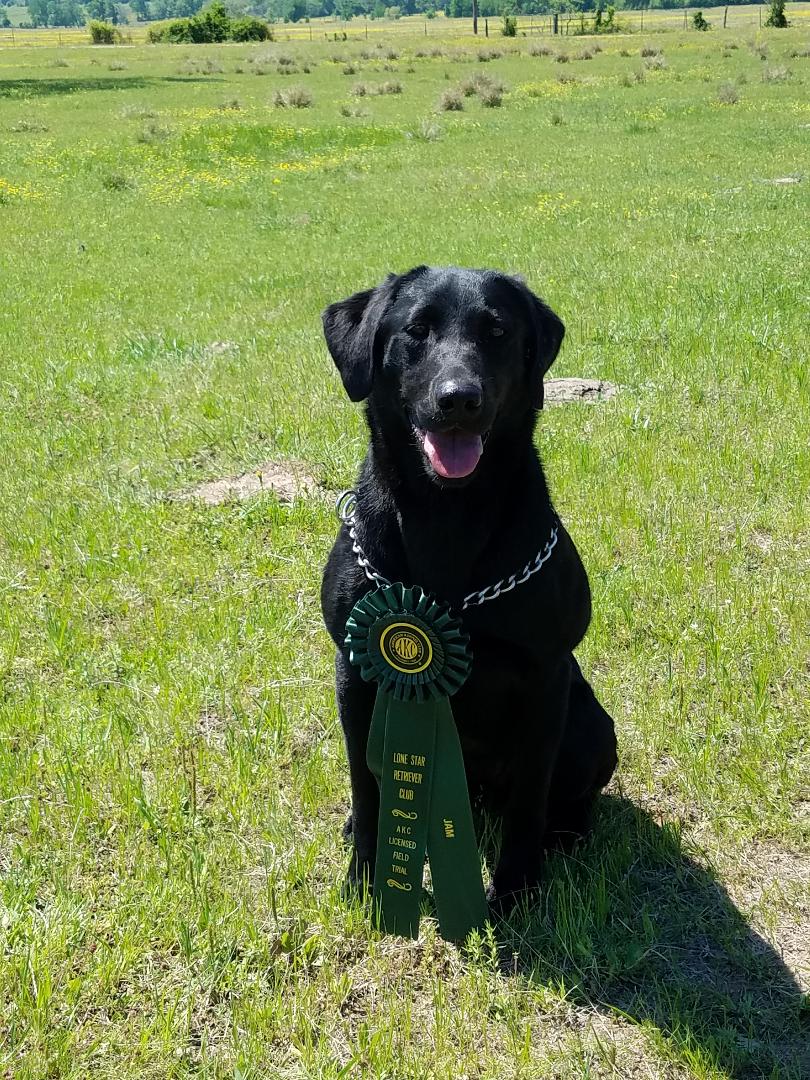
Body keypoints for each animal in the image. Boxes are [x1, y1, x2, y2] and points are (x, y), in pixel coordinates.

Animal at [319, 265, 617, 907]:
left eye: (498, 331)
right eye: (417, 329)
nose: (459, 398)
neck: (445, 515)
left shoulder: (545, 678)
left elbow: (530, 800)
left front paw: (517, 892)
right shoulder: (354, 671)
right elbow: (366, 786)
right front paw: (365, 879)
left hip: (590, 726)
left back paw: (568, 836)